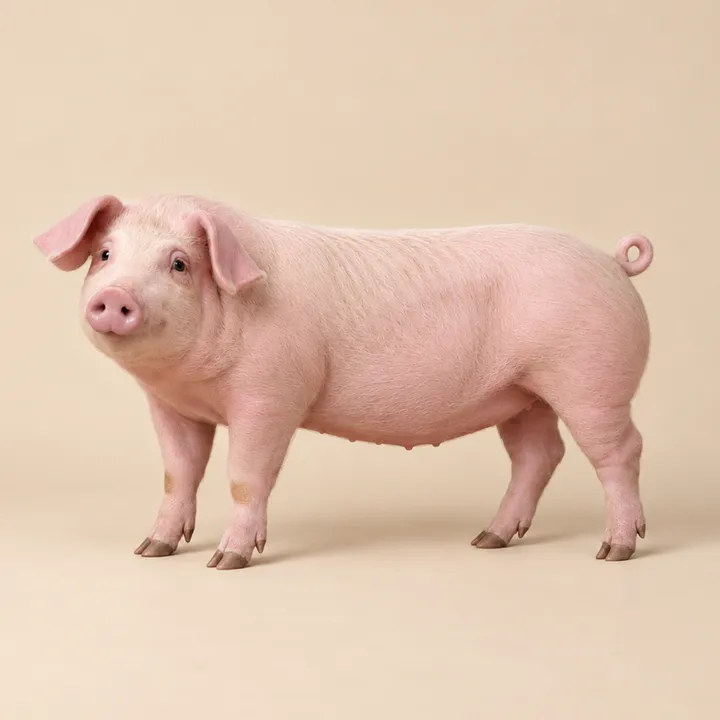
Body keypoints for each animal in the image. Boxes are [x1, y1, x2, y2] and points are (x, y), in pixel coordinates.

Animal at [32, 194, 654, 569]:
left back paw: (614, 550)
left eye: (179, 263)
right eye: (105, 254)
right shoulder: (172, 406)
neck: (196, 383)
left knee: (620, 451)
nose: (115, 296)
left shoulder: (272, 394)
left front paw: (227, 561)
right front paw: (151, 550)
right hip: (523, 394)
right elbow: (177, 475)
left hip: (591, 376)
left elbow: (244, 478)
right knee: (539, 455)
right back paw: (488, 540)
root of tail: (612, 263)